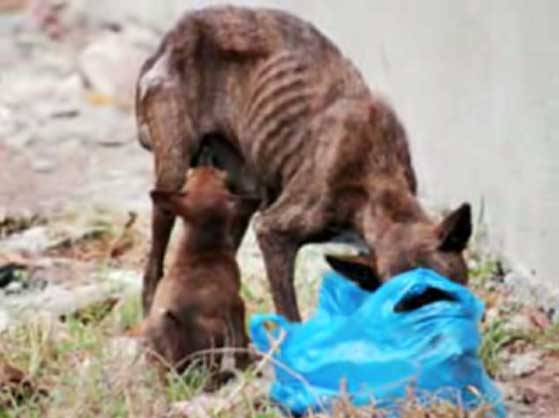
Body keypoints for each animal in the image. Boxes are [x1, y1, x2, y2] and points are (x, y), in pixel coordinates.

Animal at [131, 167, 254, 376]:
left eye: (189, 179)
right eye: (222, 179)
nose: (204, 166)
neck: (201, 247)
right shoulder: (236, 304)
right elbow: (240, 338)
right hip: (217, 330)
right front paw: (245, 366)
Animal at [137, 5, 472, 320]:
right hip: (173, 178)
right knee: (154, 265)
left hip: (239, 198)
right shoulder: (273, 231)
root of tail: (175, 32)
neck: (379, 179)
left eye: (450, 294)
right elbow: (290, 314)